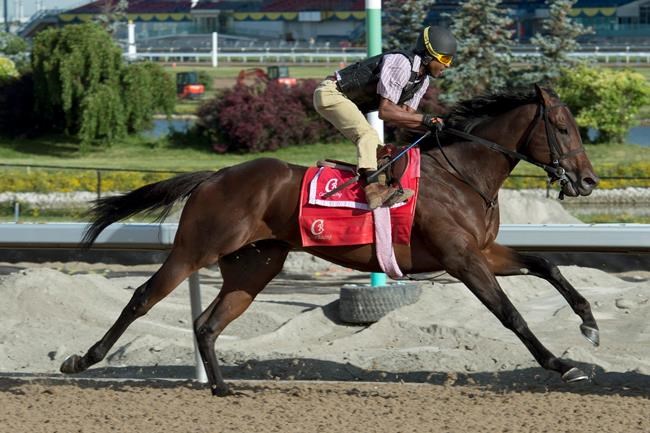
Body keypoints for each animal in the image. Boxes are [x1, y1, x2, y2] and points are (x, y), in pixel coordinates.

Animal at [60, 85, 600, 396]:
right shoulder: (461, 258)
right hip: (196, 248)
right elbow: (509, 313)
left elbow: (548, 265)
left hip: (254, 266)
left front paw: (589, 324)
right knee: (143, 297)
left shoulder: (485, 251)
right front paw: (562, 365)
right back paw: (81, 359)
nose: (588, 181)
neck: (462, 174)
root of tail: (214, 177)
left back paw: (223, 390)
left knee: (208, 323)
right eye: (562, 127)